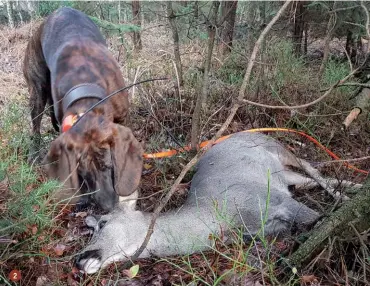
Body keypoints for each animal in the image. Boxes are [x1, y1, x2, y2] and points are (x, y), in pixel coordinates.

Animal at [23, 7, 143, 211]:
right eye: (84, 173)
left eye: (109, 166)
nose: (107, 207)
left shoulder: (123, 118)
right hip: (37, 93)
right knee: (36, 127)